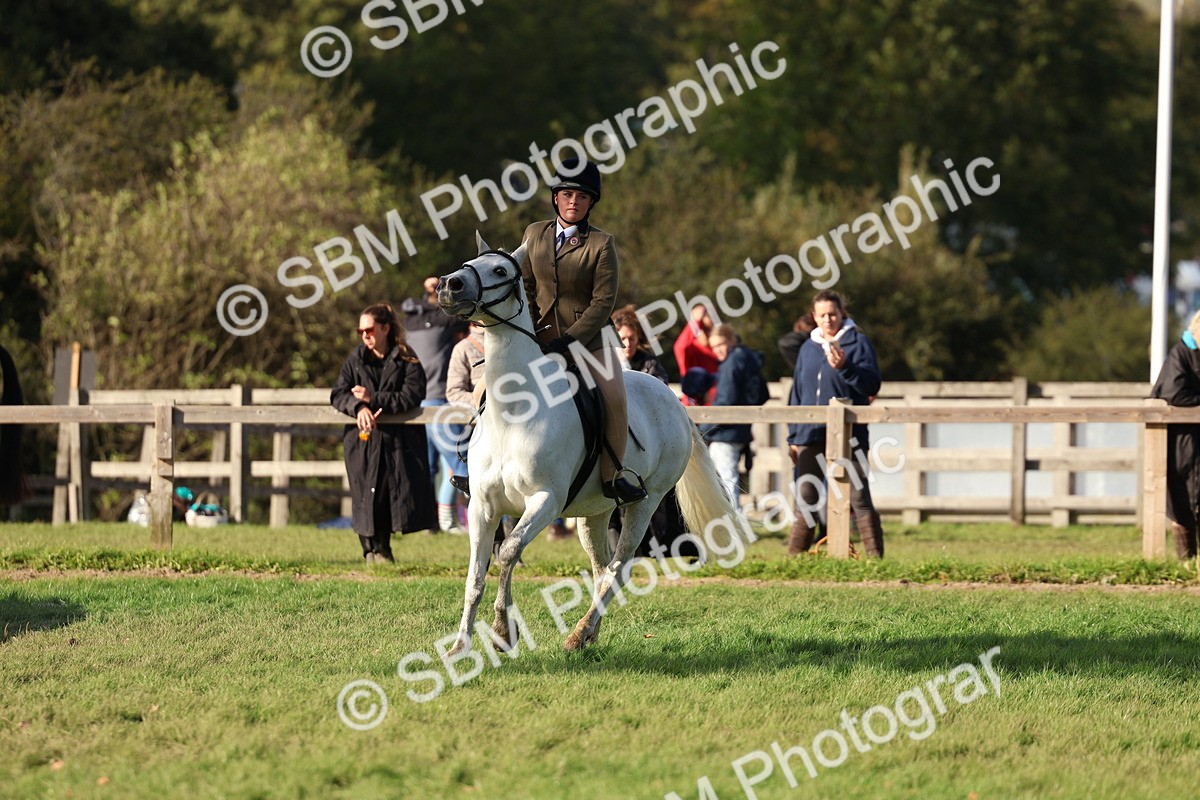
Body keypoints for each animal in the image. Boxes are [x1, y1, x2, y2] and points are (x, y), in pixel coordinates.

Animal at [437, 234, 750, 654]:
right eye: (468, 263)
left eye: (500, 270)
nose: (450, 286)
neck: (514, 414)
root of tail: (672, 400)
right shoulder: (482, 506)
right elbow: (475, 576)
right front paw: (460, 646)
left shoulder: (545, 501)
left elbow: (508, 553)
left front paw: (503, 631)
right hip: (595, 511)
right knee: (602, 570)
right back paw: (587, 634)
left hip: (645, 502)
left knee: (619, 568)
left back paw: (579, 633)